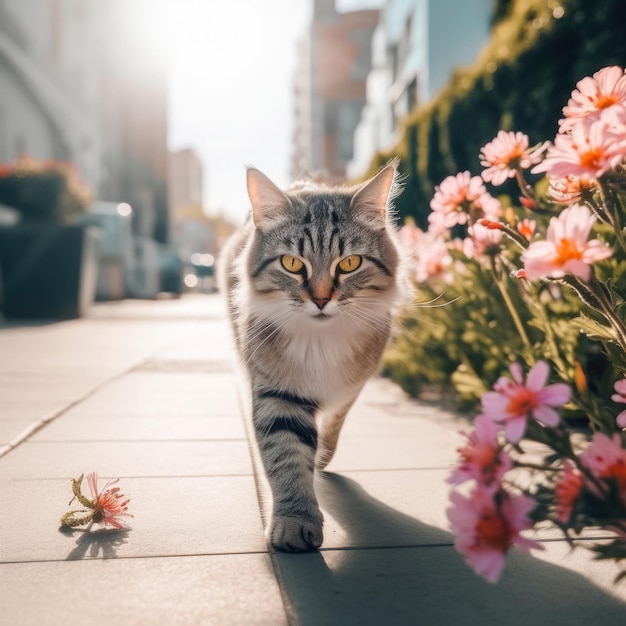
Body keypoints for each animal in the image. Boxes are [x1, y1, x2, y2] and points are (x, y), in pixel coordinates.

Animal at [218, 162, 404, 552]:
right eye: (292, 263)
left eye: (349, 264)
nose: (320, 300)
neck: (320, 340)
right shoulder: (278, 393)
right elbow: (286, 457)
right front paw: (294, 523)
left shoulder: (353, 385)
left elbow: (334, 420)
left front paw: (322, 456)